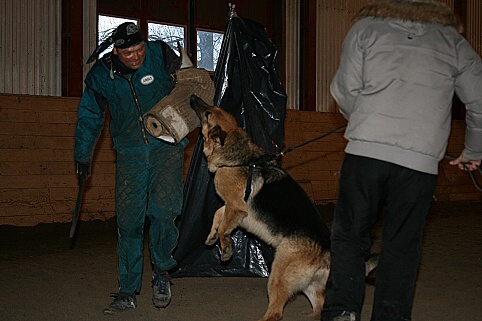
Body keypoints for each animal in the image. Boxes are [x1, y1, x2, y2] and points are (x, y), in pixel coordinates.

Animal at [189, 95, 376, 320]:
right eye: (211, 108)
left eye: (208, 113)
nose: (193, 98)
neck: (239, 159)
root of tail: (326, 250)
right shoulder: (232, 208)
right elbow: (218, 215)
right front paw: (211, 236)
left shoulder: (236, 207)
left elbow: (225, 226)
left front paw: (225, 248)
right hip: (309, 285)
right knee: (319, 306)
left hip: (278, 274)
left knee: (276, 312)